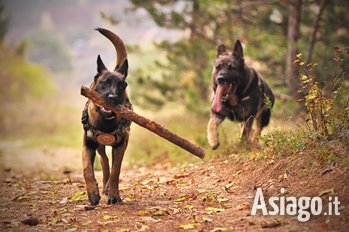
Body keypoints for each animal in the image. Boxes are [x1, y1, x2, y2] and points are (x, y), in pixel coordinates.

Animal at [80, 28, 132, 206]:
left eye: (122, 85)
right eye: (104, 82)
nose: (112, 97)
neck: (105, 121)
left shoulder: (121, 146)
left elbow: (116, 171)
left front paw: (114, 195)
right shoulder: (88, 145)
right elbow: (87, 168)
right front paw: (92, 193)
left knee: (111, 164)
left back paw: (108, 187)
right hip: (99, 146)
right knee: (104, 160)